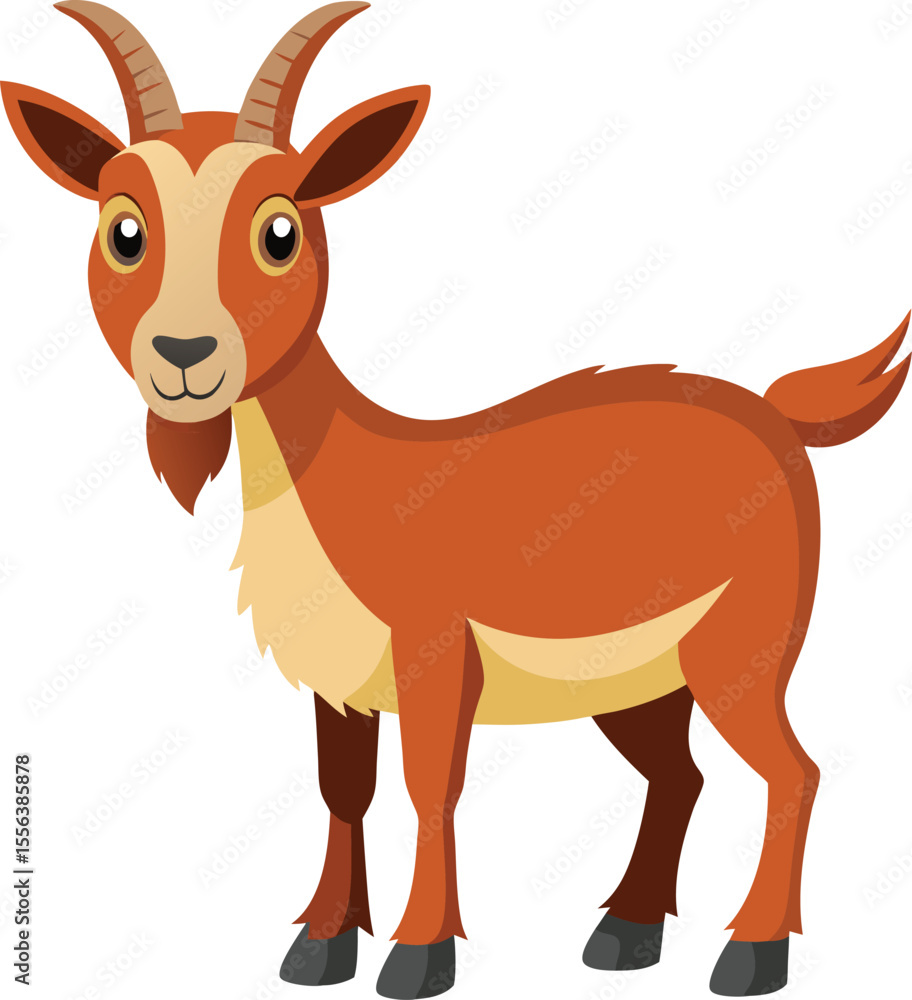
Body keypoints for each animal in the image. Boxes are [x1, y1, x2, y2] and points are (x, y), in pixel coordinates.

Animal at [3, 2, 909, 996]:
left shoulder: (433, 654)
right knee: (682, 776)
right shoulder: (341, 680)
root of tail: (777, 412)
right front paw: (320, 947)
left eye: (281, 229)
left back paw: (750, 953)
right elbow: (344, 792)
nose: (184, 354)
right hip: (642, 679)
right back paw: (624, 935)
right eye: (124, 228)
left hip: (743, 649)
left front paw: (417, 954)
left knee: (794, 771)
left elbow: (428, 787)